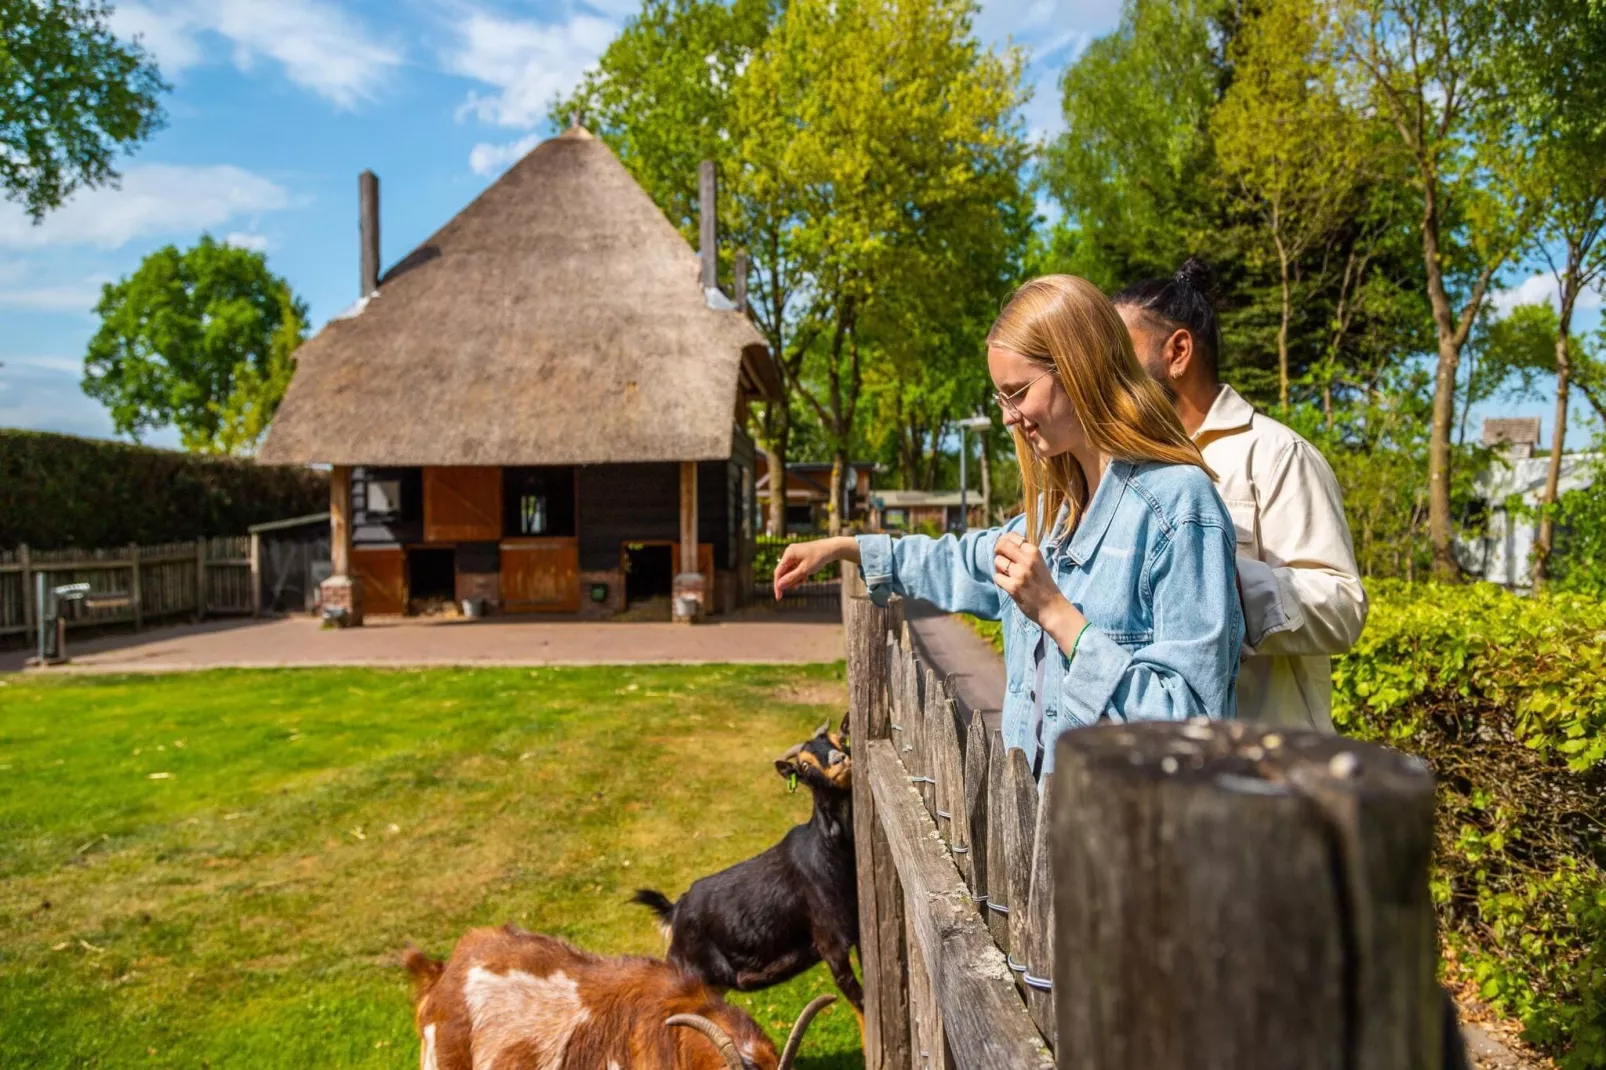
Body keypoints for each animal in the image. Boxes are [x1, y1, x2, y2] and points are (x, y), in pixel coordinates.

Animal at [629, 713, 867, 1021]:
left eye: (841, 740)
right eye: (804, 765)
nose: (840, 761)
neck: (829, 854)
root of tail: (673, 912)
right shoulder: (830, 942)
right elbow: (861, 1006)